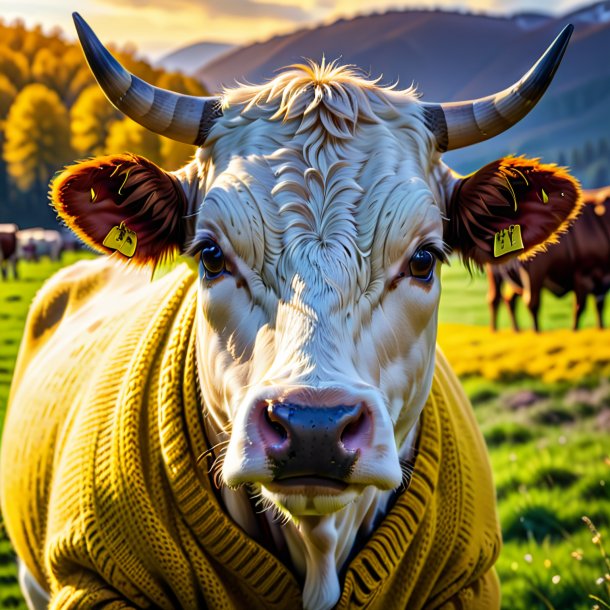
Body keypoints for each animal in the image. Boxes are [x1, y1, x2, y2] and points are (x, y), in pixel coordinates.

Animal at [484, 186, 608, 332]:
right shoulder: (582, 275)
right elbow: (579, 308)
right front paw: (574, 331)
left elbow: (599, 305)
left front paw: (600, 328)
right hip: (531, 273)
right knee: (526, 302)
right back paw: (534, 332)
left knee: (503, 299)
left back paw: (510, 331)